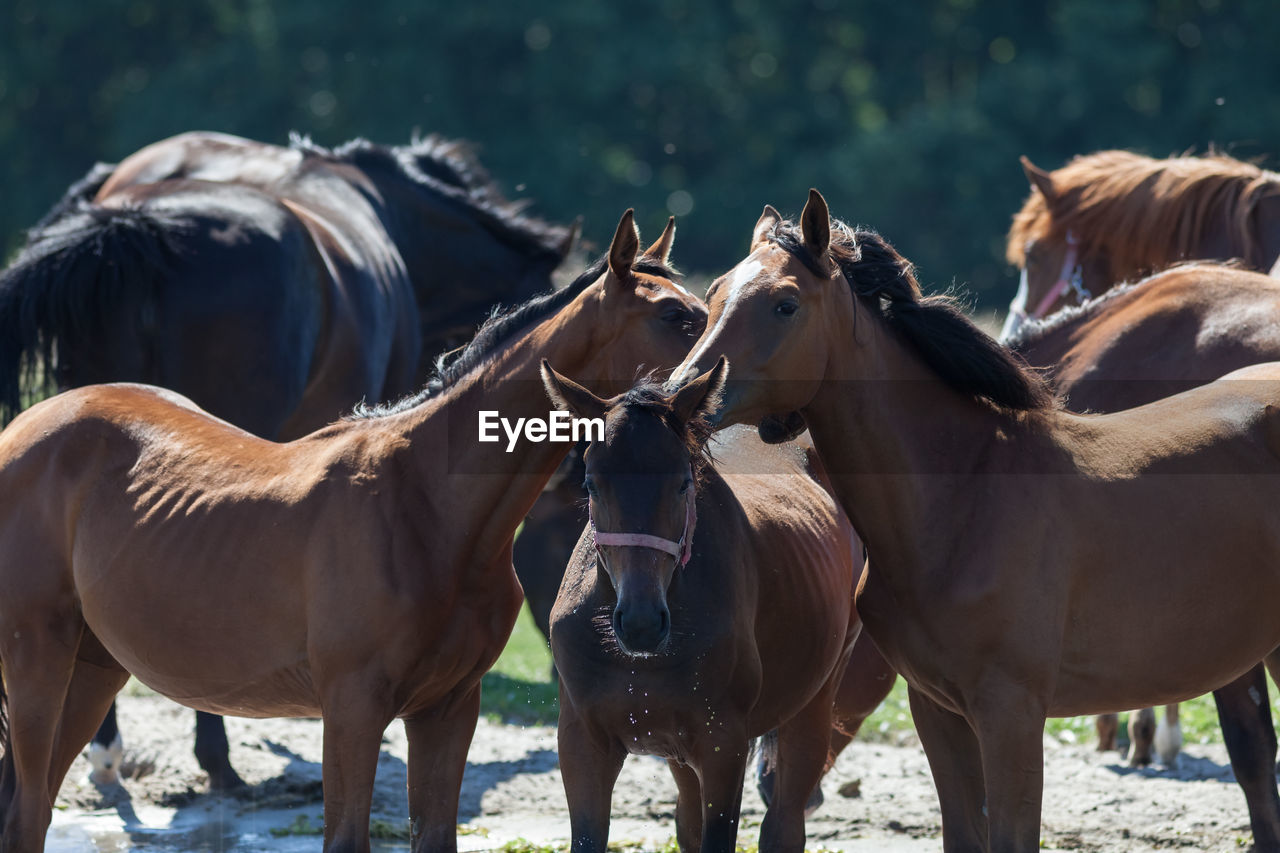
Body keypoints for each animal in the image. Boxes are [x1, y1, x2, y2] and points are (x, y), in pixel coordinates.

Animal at [0, 207, 706, 850]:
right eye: (675, 317)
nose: (715, 391)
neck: (428, 507)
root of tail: (27, 427)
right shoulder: (352, 709)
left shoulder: (448, 708)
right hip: (37, 662)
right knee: (30, 810)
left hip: (92, 669)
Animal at [540, 358, 860, 850]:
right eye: (591, 483)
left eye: (683, 483)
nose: (641, 623)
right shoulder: (582, 741)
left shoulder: (722, 745)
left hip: (815, 701)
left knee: (784, 821)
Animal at [680, 189, 1280, 845]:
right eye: (715, 294)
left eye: (785, 305)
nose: (688, 392)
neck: (965, 492)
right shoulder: (939, 711)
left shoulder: (1010, 715)